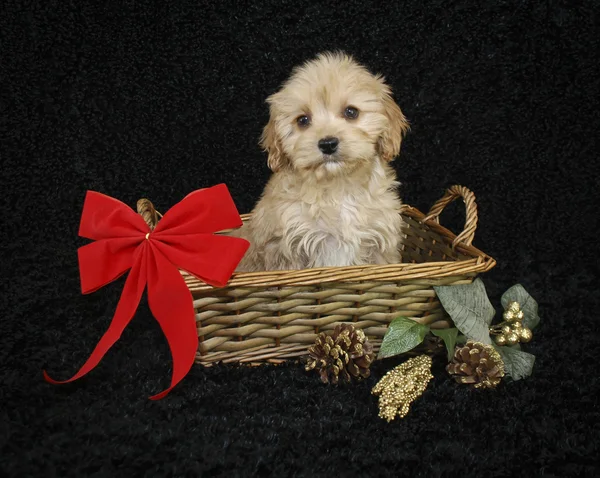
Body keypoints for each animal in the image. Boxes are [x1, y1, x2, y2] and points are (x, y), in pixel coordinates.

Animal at [232, 51, 410, 272]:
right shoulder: (287, 250)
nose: (328, 143)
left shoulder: (381, 243)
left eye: (351, 112)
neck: (338, 189)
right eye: (302, 120)